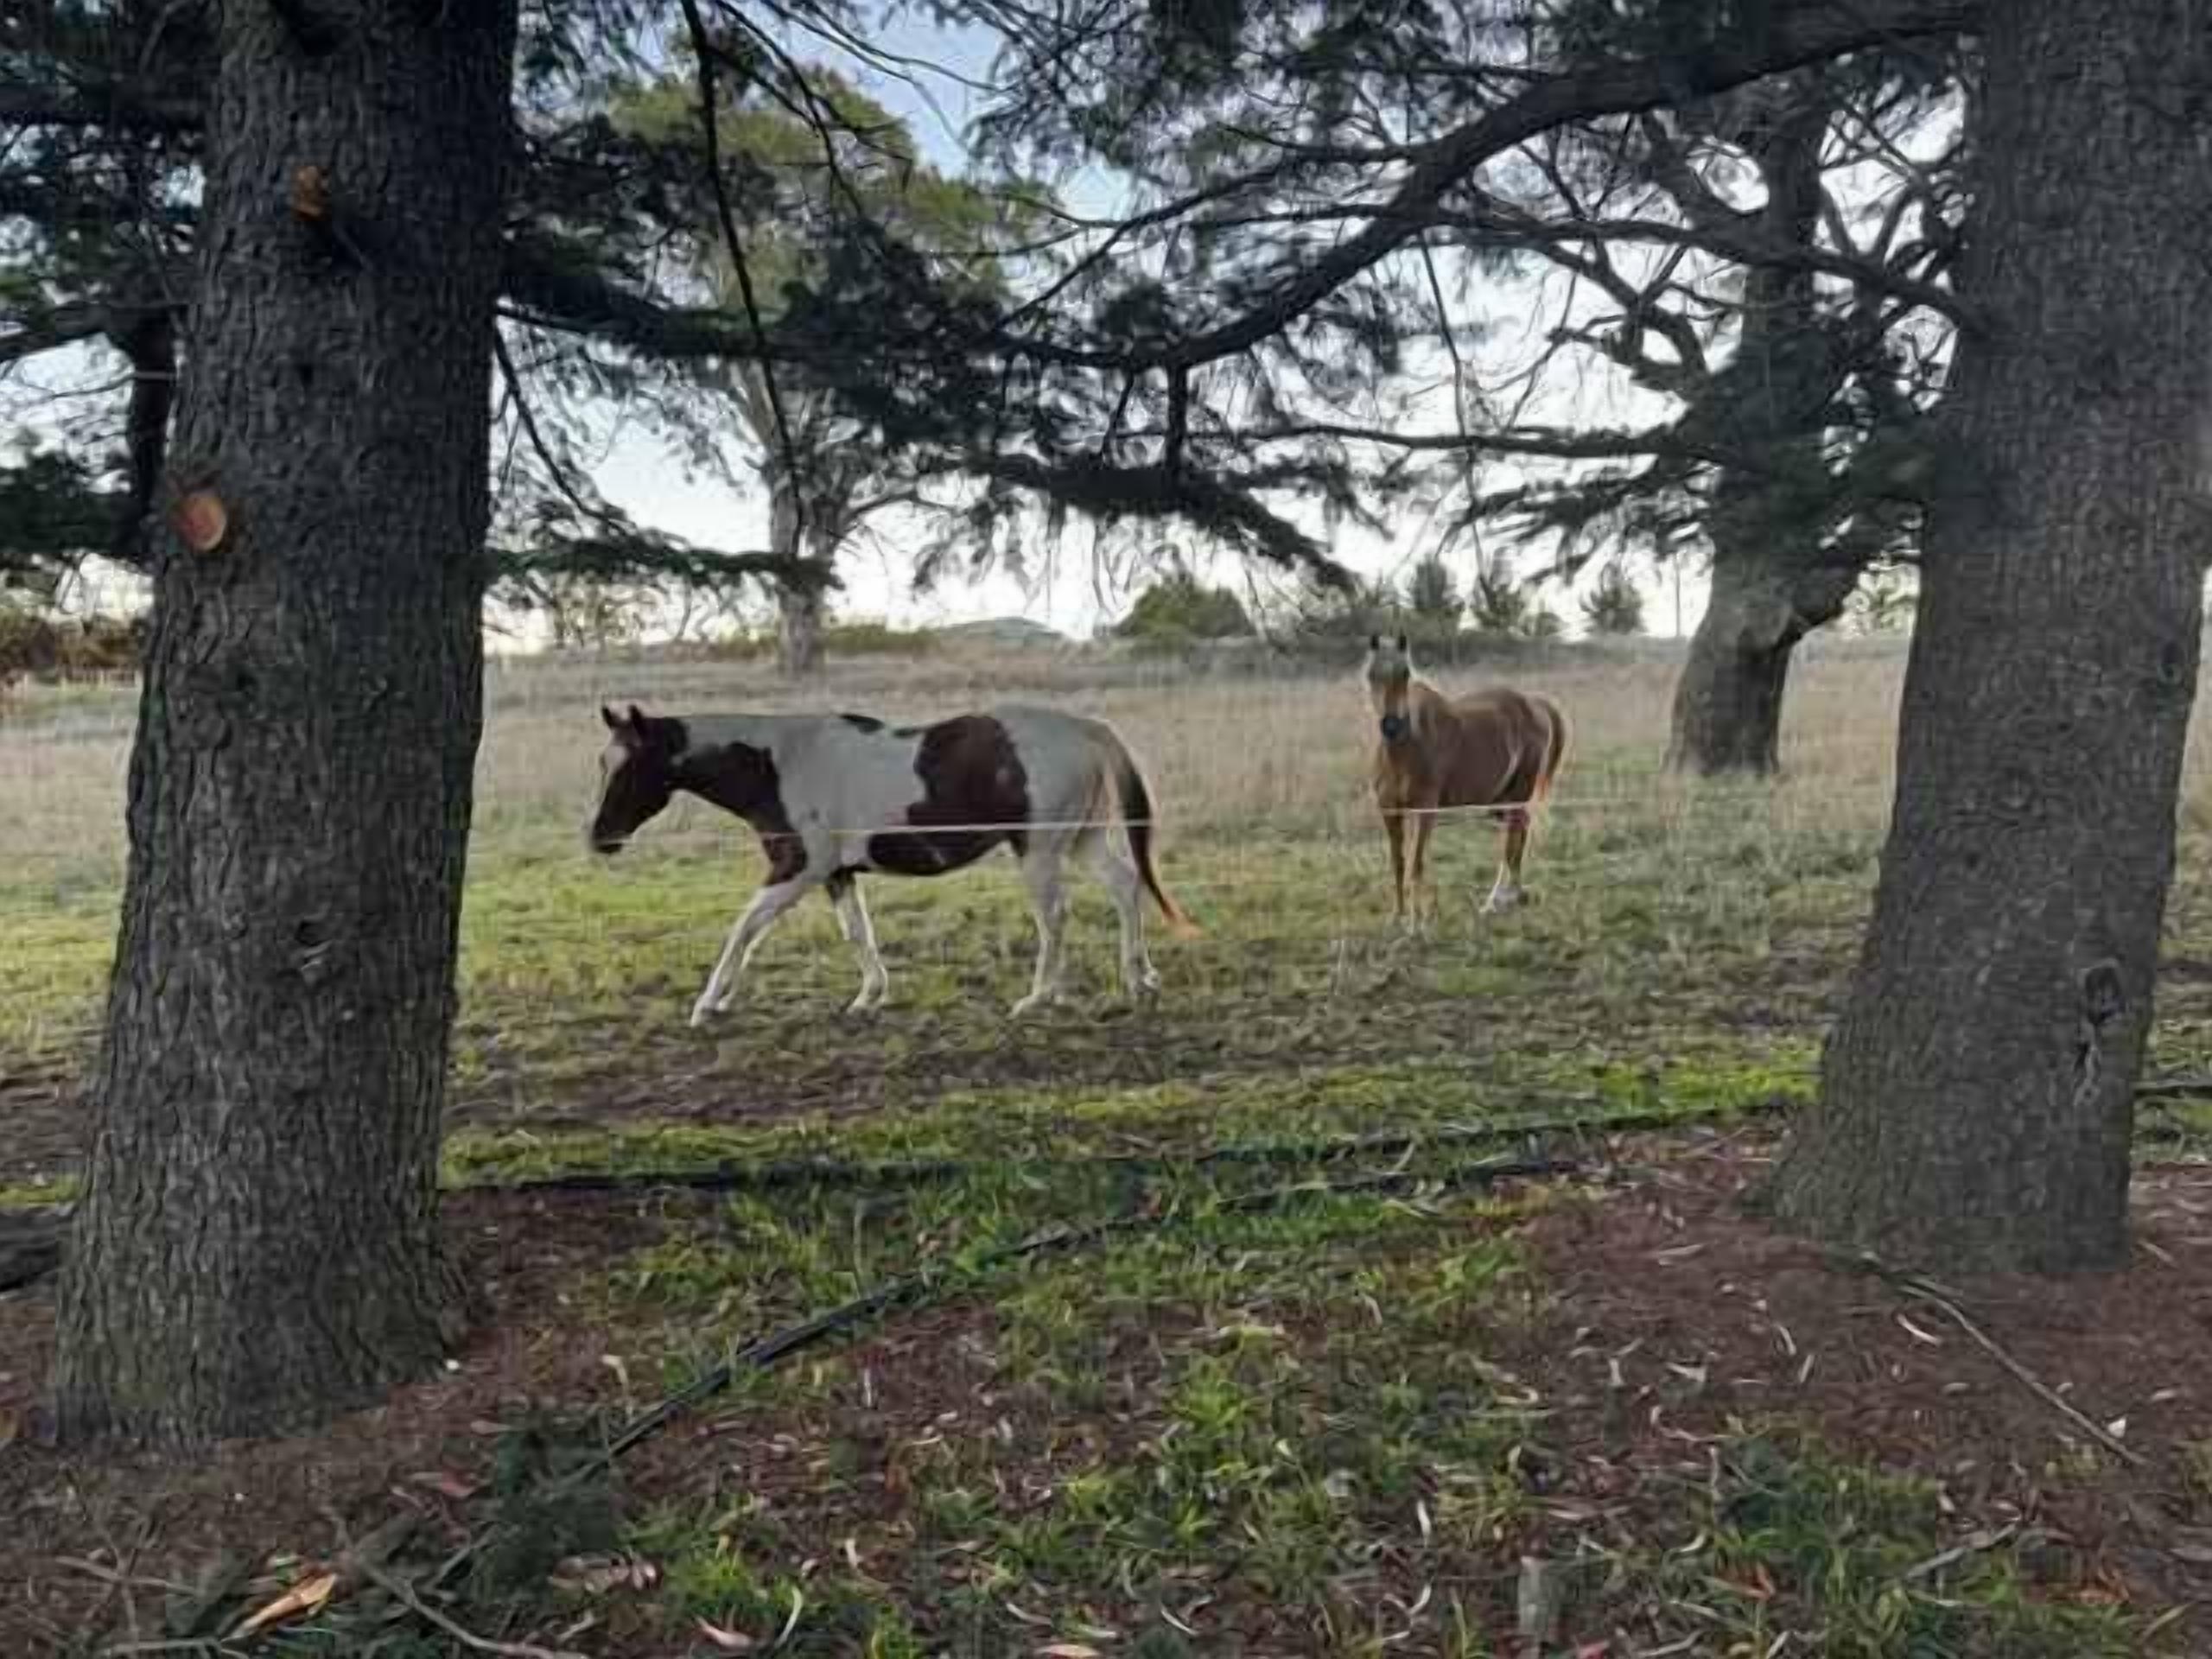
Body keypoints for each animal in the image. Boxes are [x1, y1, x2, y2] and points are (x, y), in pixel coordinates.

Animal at [588, 702, 1198, 1025]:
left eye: (629, 766)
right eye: (603, 762)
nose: (599, 838)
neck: (776, 763)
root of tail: (1086, 729)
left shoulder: (799, 870)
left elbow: (744, 928)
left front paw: (707, 1003)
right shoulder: (836, 876)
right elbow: (858, 934)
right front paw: (868, 997)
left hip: (1040, 851)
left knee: (1054, 918)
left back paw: (1037, 997)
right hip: (1082, 841)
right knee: (1125, 887)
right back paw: (1138, 978)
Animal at [1363, 634, 1571, 925]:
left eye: (1405, 674)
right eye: (1371, 675)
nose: (1391, 726)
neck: (1406, 750)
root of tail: (1535, 703)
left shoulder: (1425, 812)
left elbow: (1416, 864)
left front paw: (1417, 921)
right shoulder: (1390, 811)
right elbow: (1399, 864)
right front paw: (1398, 916)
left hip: (1519, 793)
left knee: (1513, 838)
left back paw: (1498, 900)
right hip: (1503, 799)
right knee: (1518, 834)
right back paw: (1513, 895)